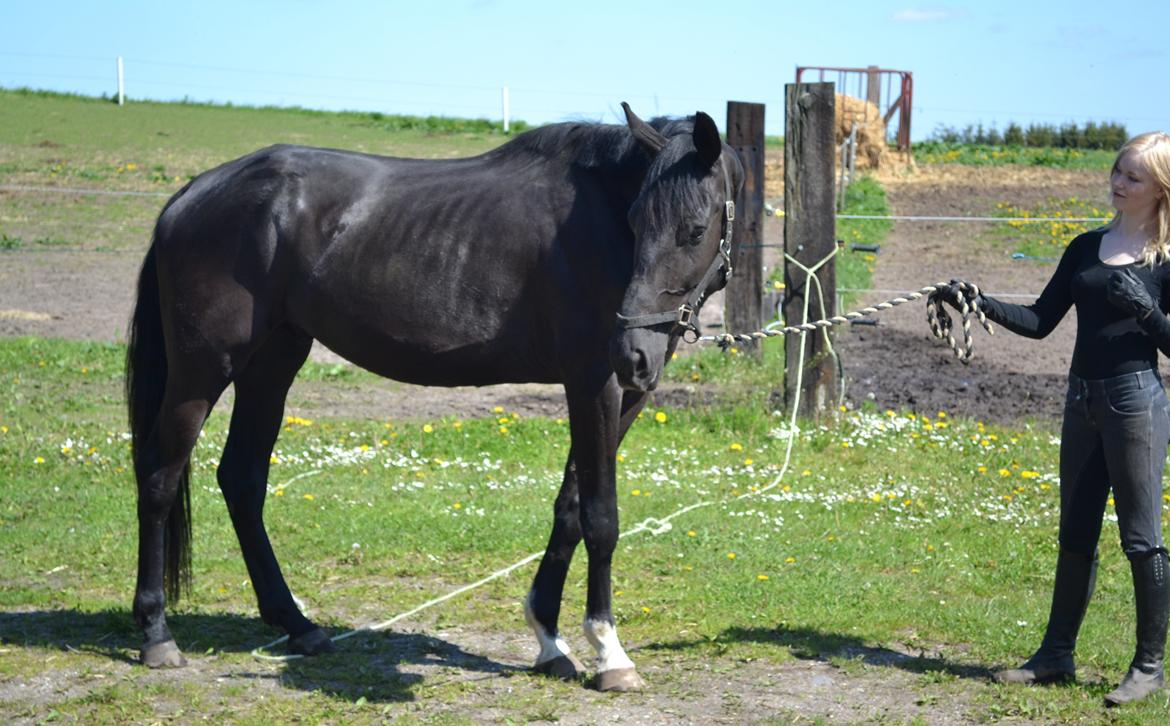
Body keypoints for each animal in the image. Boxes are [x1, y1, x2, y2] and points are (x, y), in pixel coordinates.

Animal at [125, 103, 739, 692]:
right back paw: (157, 634)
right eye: (636, 221)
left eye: (694, 229)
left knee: (242, 478)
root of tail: (192, 193)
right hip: (204, 370)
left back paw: (297, 624)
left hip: (272, 363)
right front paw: (610, 653)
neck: (597, 224)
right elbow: (601, 518)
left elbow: (569, 509)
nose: (633, 350)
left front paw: (549, 639)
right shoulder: (595, 383)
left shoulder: (623, 394)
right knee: (160, 474)